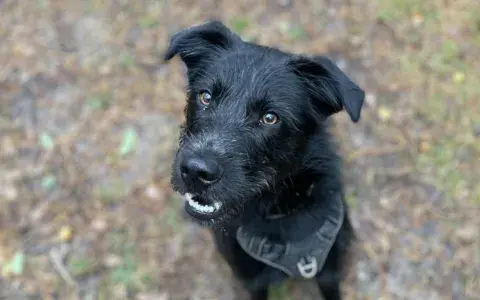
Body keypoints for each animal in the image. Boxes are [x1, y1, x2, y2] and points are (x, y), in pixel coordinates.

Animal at [165, 21, 364, 300]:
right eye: (205, 97)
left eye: (270, 118)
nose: (195, 172)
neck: (275, 210)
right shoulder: (252, 280)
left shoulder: (328, 269)